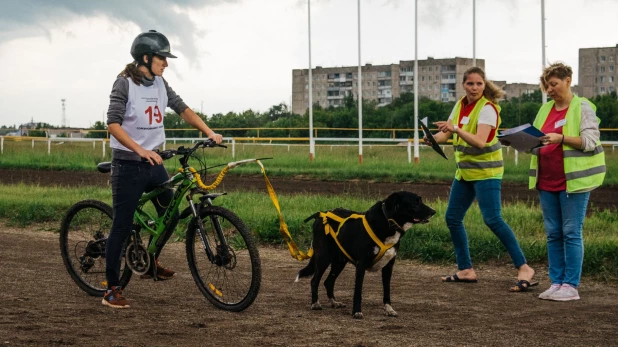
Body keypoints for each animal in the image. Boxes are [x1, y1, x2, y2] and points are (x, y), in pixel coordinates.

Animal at [294, 192, 434, 320]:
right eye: (415, 202)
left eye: (420, 200)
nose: (434, 212)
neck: (388, 223)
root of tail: (321, 214)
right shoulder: (361, 265)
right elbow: (358, 291)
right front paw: (356, 311)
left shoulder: (389, 266)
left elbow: (387, 290)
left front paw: (389, 310)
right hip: (324, 257)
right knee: (315, 280)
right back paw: (315, 304)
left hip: (339, 261)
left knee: (328, 281)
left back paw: (334, 302)